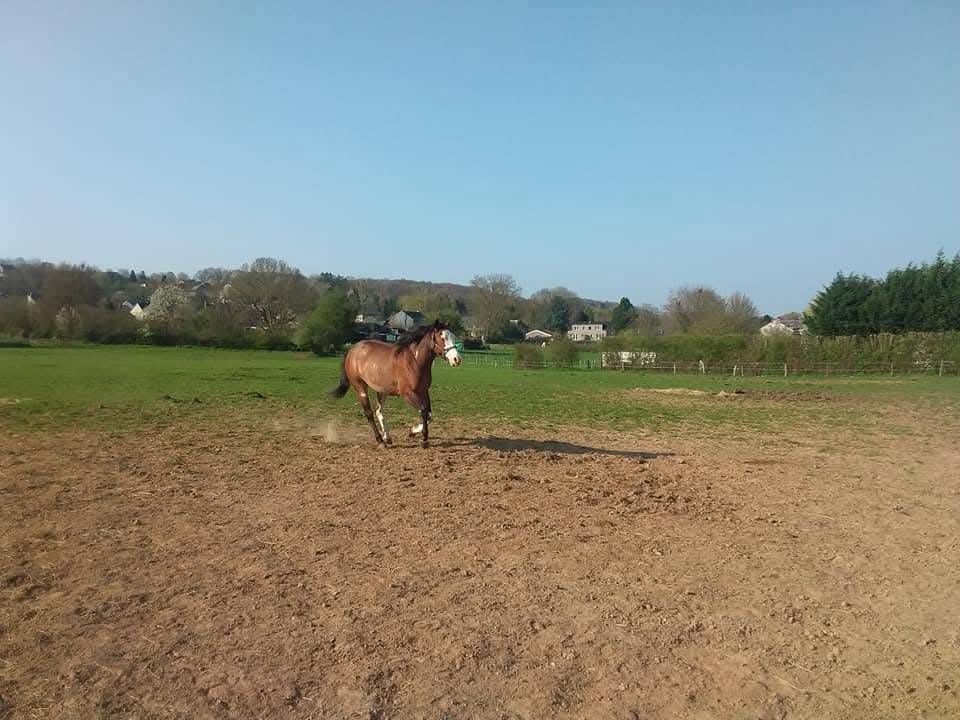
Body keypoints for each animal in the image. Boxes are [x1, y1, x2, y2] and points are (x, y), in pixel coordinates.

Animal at [329, 321, 462, 448]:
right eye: (442, 337)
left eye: (453, 337)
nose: (457, 359)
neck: (415, 361)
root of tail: (352, 350)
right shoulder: (408, 394)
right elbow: (423, 412)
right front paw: (423, 440)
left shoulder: (424, 391)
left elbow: (429, 414)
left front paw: (412, 432)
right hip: (360, 388)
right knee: (369, 413)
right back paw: (380, 441)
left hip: (382, 390)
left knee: (378, 411)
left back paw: (387, 437)